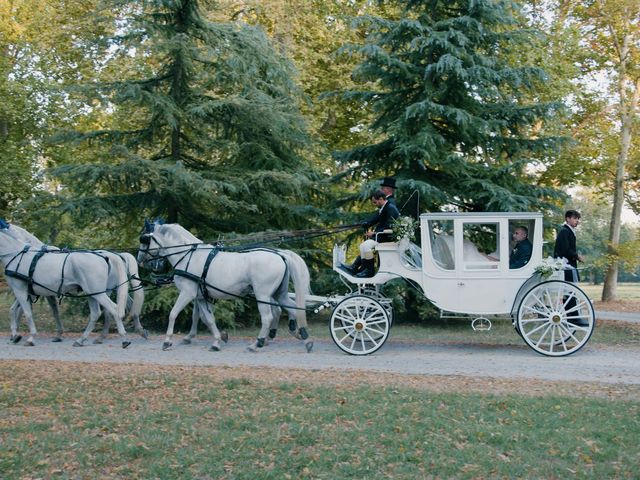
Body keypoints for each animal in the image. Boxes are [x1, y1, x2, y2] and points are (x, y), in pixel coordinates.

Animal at [0, 223, 148, 344]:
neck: (20, 255)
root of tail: (110, 256)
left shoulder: (21, 290)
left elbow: (26, 312)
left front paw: (29, 337)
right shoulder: (31, 292)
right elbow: (15, 310)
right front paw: (15, 335)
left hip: (99, 293)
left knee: (113, 309)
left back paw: (123, 338)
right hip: (96, 293)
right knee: (102, 312)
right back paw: (84, 339)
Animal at [138, 221, 312, 352]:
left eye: (144, 239)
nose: (140, 259)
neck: (188, 256)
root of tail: (280, 255)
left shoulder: (187, 293)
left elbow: (173, 313)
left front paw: (167, 341)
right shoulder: (201, 297)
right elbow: (208, 319)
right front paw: (216, 341)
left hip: (262, 295)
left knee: (268, 317)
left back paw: (257, 343)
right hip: (278, 294)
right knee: (294, 310)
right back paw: (305, 339)